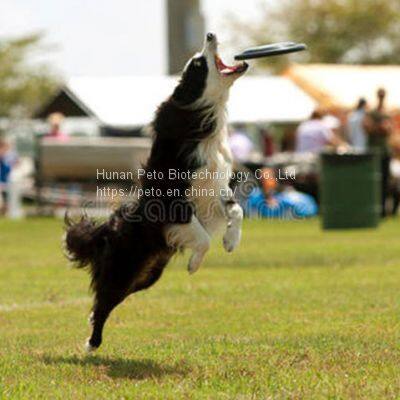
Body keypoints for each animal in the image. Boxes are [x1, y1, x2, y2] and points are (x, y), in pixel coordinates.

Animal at [64, 32, 248, 352]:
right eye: (198, 64)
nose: (210, 34)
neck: (202, 118)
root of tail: (108, 229)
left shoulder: (215, 189)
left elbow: (236, 210)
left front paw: (230, 242)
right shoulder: (173, 202)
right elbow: (202, 238)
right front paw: (194, 265)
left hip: (147, 275)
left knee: (107, 301)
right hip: (124, 268)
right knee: (104, 301)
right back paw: (91, 344)